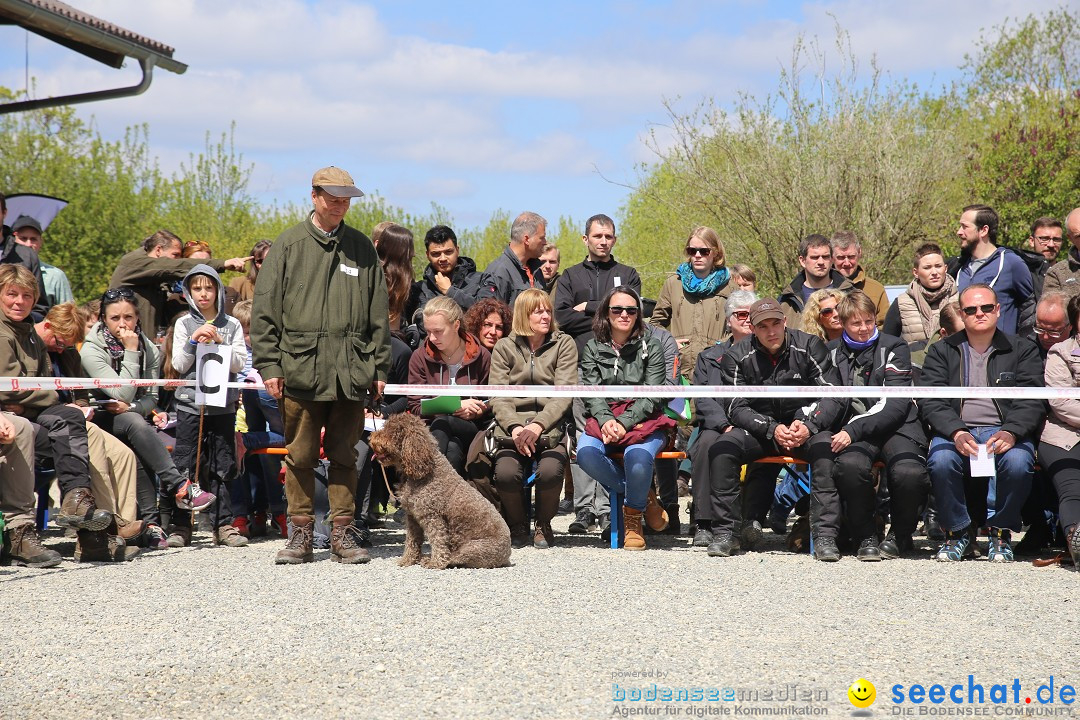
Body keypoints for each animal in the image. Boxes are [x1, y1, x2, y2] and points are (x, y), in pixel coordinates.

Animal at [369, 414, 511, 569]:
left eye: (392, 431)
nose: (370, 438)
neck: (424, 470)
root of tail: (507, 555)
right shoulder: (412, 517)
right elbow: (412, 541)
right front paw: (407, 560)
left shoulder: (433, 517)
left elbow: (438, 541)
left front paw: (436, 562)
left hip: (473, 548)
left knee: (455, 558)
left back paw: (430, 560)